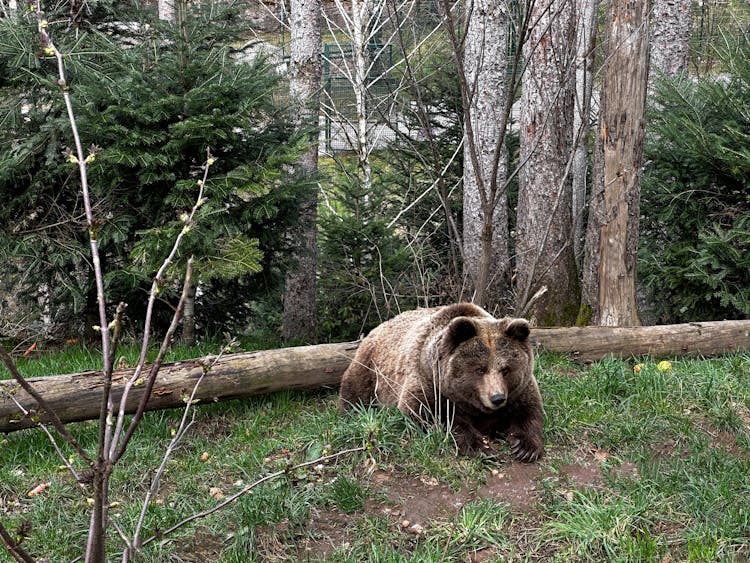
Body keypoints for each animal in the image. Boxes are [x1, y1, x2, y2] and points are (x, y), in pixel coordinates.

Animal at [342, 304, 548, 462]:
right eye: (480, 369)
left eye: (505, 369)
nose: (497, 398)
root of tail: (379, 327)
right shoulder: (428, 382)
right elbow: (431, 415)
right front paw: (482, 447)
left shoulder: (519, 390)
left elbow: (529, 411)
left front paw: (525, 448)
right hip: (370, 368)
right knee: (355, 391)